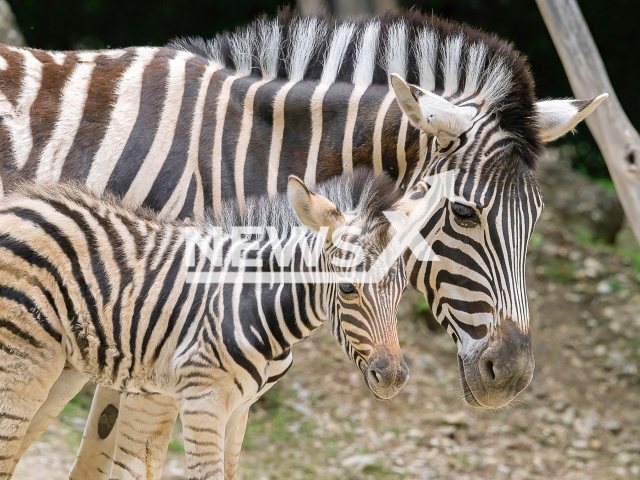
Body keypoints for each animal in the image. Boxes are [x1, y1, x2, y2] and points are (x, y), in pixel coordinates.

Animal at [0, 171, 416, 478]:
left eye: (402, 291)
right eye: (347, 288)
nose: (393, 378)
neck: (255, 304)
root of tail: (18, 201)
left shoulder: (240, 409)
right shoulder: (203, 401)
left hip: (62, 366)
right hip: (26, 358)